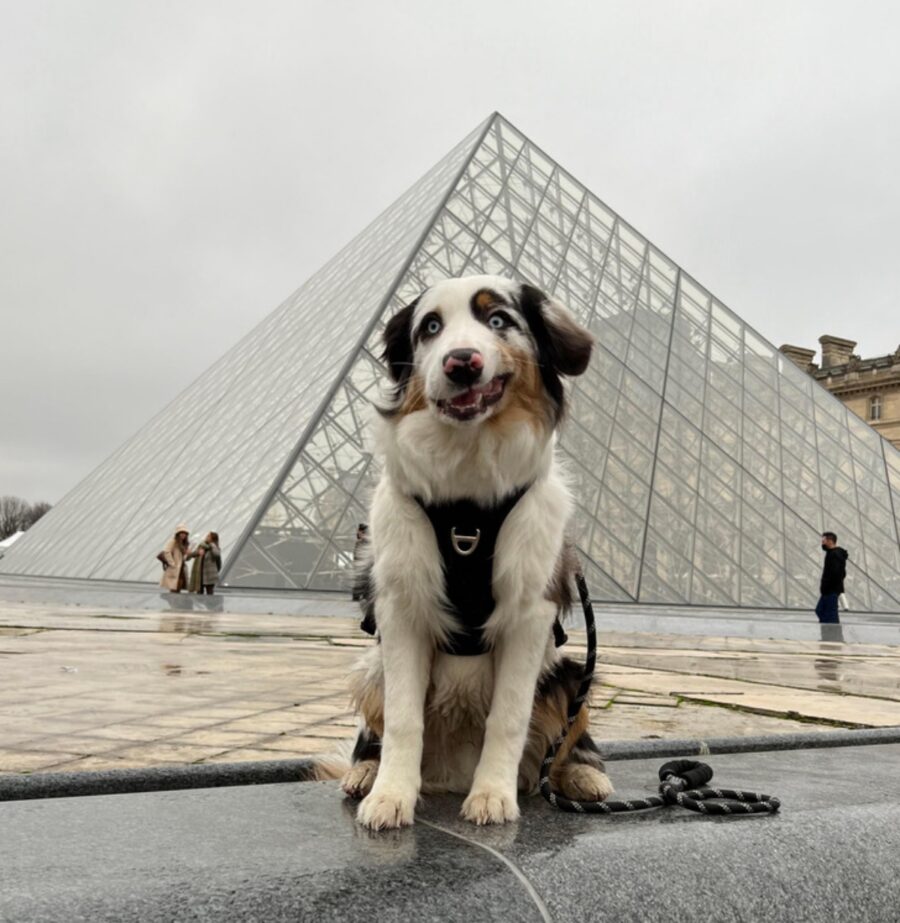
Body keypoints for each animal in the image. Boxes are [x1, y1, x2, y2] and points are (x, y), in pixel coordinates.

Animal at [342, 274, 616, 832]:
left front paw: (493, 796)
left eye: (498, 320)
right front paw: (390, 795)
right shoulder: (401, 610)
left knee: (562, 743)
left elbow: (508, 717)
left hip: (572, 671)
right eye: (430, 327)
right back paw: (365, 771)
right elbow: (403, 719)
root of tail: (452, 769)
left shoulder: (531, 614)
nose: (461, 362)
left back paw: (581, 777)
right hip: (369, 667)